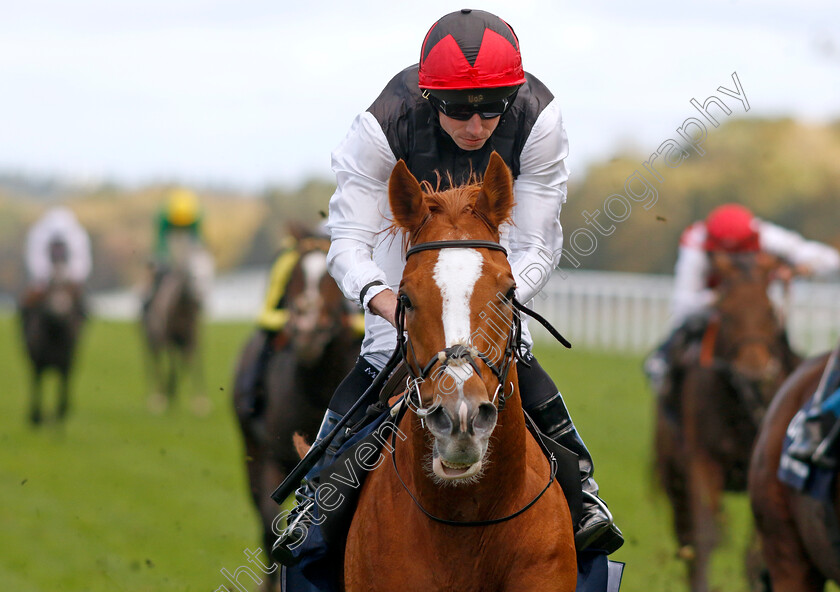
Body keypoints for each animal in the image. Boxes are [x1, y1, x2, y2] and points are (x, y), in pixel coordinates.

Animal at [19, 278, 87, 426]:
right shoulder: (38, 365)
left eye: (67, 293)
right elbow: (37, 388)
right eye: (50, 291)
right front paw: (36, 418)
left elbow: (63, 399)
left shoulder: (66, 365)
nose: (59, 310)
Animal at [656, 251, 800, 592]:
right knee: (686, 539)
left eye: (769, 311)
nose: (754, 371)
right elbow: (704, 538)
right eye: (726, 313)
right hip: (673, 477)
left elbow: (757, 553)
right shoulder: (702, 459)